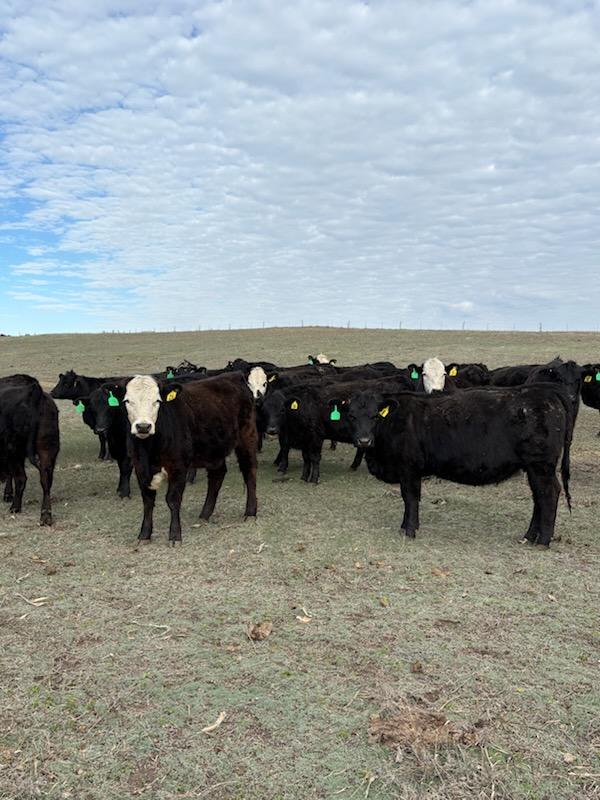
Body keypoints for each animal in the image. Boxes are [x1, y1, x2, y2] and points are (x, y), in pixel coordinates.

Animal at [0, 374, 60, 525]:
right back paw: (45, 515)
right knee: (46, 480)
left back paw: (15, 507)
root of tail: (34, 391)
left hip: (14, 449)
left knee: (21, 478)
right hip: (47, 448)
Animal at [118, 372, 258, 544]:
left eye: (157, 401)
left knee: (249, 470)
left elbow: (173, 500)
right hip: (214, 448)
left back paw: (250, 513)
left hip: (246, 437)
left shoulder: (178, 466)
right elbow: (148, 500)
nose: (143, 427)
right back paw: (205, 514)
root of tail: (234, 376)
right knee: (217, 475)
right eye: (127, 401)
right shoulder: (140, 467)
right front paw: (144, 535)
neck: (149, 450)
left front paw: (175, 536)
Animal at [349, 384, 573, 546]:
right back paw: (529, 536)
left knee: (548, 494)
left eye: (375, 415)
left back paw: (543, 541)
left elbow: (410, 498)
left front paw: (409, 530)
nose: (364, 440)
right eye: (352, 416)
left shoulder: (409, 468)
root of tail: (544, 392)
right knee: (538, 497)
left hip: (541, 465)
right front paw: (407, 526)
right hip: (534, 468)